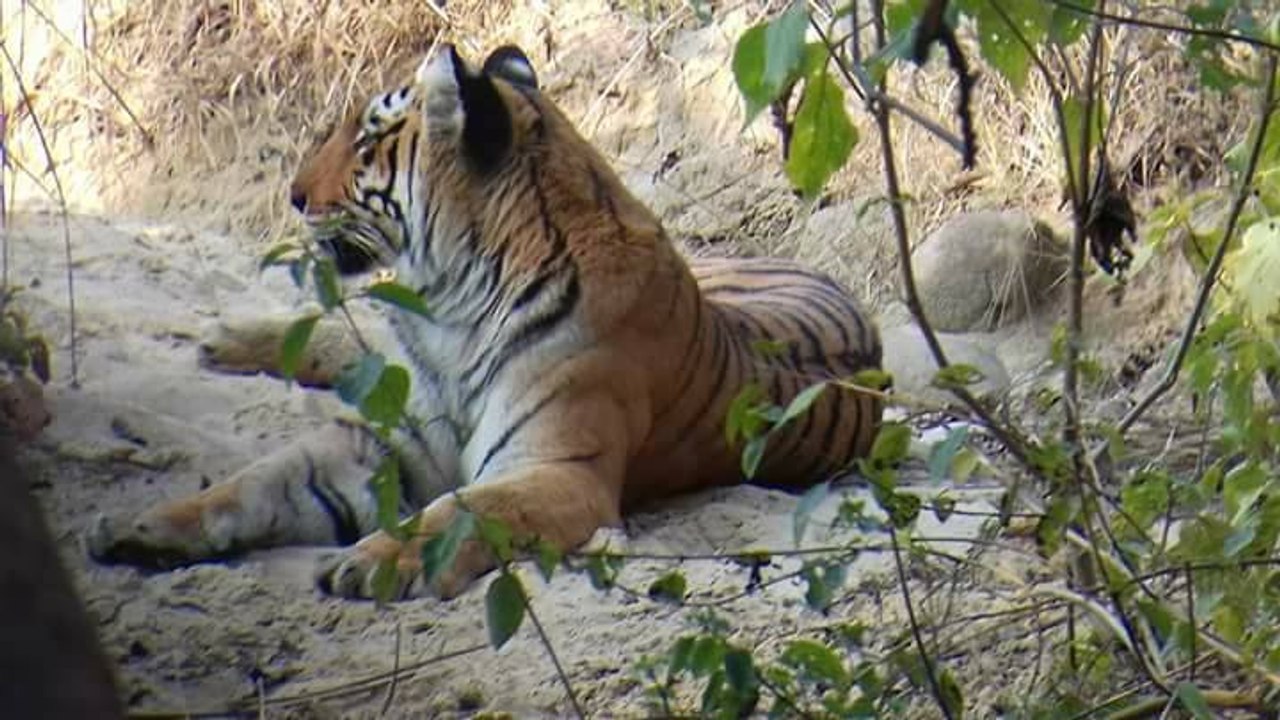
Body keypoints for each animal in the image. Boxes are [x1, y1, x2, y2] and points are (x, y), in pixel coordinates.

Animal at [87, 44, 884, 600]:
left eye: (368, 140)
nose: (293, 195)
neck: (453, 305)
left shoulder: (556, 468)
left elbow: (460, 511)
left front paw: (376, 562)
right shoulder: (389, 443)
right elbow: (254, 483)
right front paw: (144, 525)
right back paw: (225, 337)